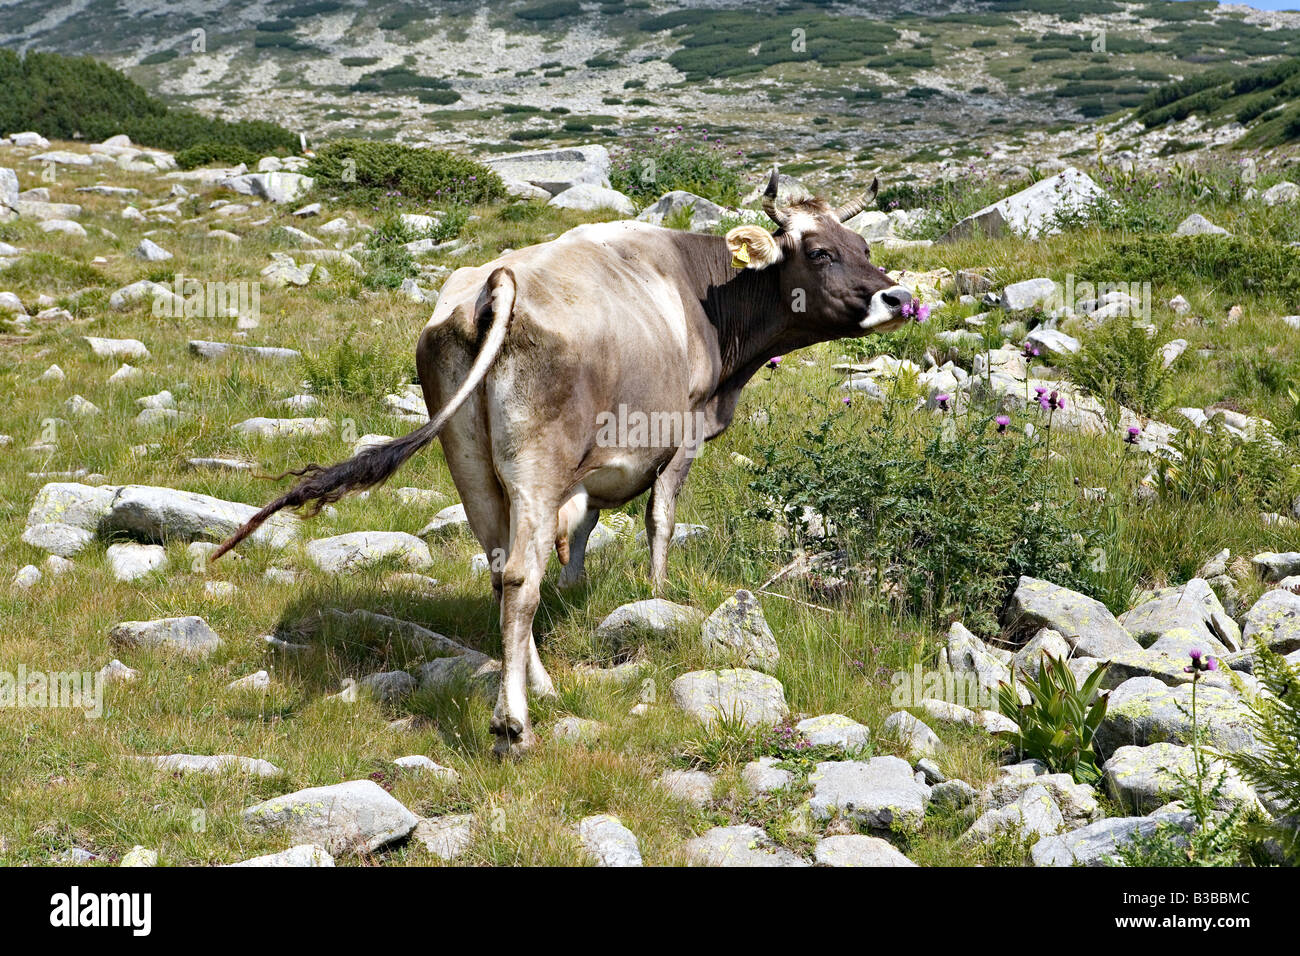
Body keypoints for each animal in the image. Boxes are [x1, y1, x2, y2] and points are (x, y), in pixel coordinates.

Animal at [213, 167, 909, 759]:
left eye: (863, 243)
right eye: (819, 252)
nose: (898, 297)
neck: (706, 300)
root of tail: (496, 279)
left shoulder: (586, 474)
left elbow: (583, 531)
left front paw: (579, 588)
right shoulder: (681, 433)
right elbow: (659, 520)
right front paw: (657, 597)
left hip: (473, 465)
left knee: (503, 571)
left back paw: (538, 686)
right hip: (536, 463)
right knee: (522, 575)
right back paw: (513, 724)